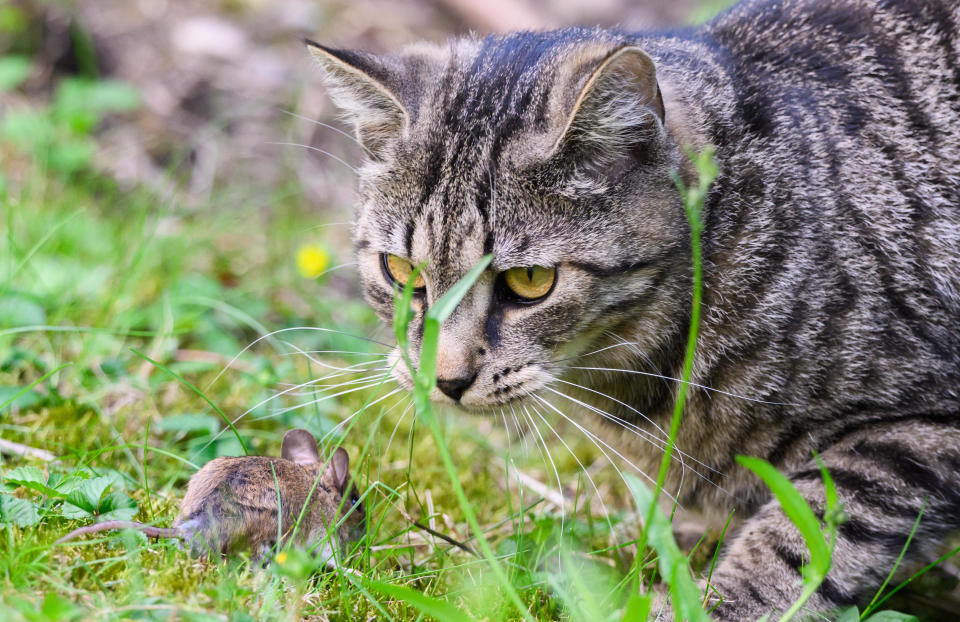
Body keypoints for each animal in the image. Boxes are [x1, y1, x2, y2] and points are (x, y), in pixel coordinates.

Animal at [306, 1, 960, 620]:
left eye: (531, 281)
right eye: (400, 272)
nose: (445, 380)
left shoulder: (919, 428)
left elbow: (804, 537)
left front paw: (712, 605)